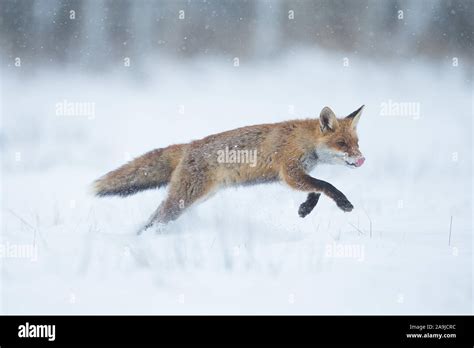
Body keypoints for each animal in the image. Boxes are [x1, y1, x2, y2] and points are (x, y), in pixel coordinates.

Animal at [93, 104, 366, 232]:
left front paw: (305, 208)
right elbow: (325, 185)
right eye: (342, 144)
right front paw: (343, 203)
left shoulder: (296, 174)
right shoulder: (289, 172)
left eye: (356, 143)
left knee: (153, 218)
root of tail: (189, 145)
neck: (304, 140)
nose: (362, 159)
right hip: (183, 200)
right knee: (156, 220)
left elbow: (315, 190)